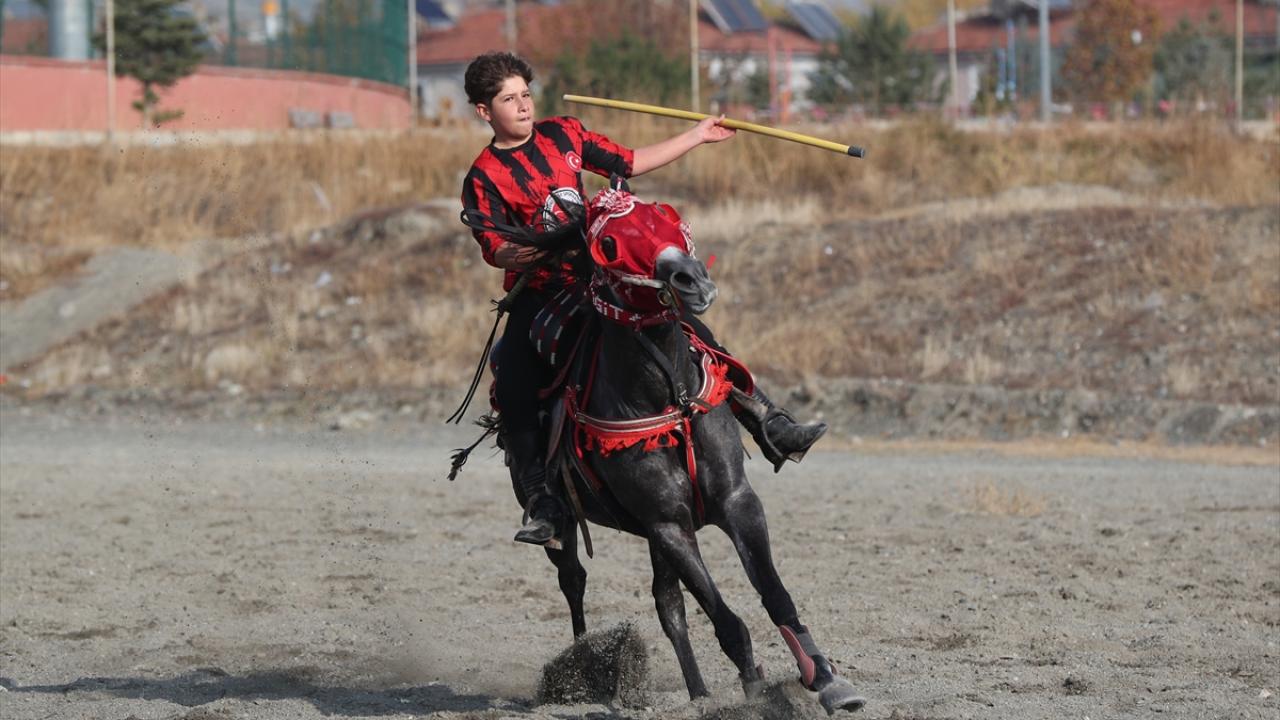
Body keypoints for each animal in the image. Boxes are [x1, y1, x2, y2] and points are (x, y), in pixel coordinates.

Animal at [522, 188, 866, 715]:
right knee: (574, 580)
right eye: (609, 245)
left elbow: (773, 595)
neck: (671, 398)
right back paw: (580, 668)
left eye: (664, 217)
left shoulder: (735, 503)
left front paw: (826, 679)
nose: (693, 280)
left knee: (668, 604)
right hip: (571, 525)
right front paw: (757, 694)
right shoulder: (670, 525)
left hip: (650, 535)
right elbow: (728, 622)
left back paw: (698, 692)